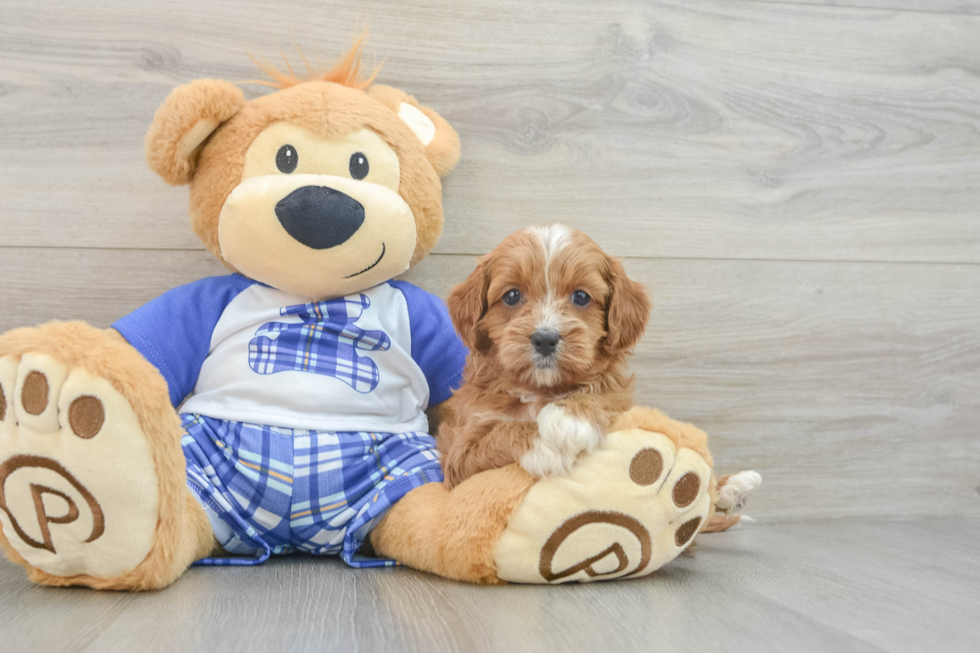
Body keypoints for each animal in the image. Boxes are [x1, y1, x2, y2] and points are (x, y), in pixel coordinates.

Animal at [436, 222, 652, 486]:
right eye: (512, 296)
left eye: (581, 296)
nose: (545, 340)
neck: (538, 389)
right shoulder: (458, 453)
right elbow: (496, 436)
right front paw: (543, 445)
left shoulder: (620, 396)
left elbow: (604, 391)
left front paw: (569, 419)